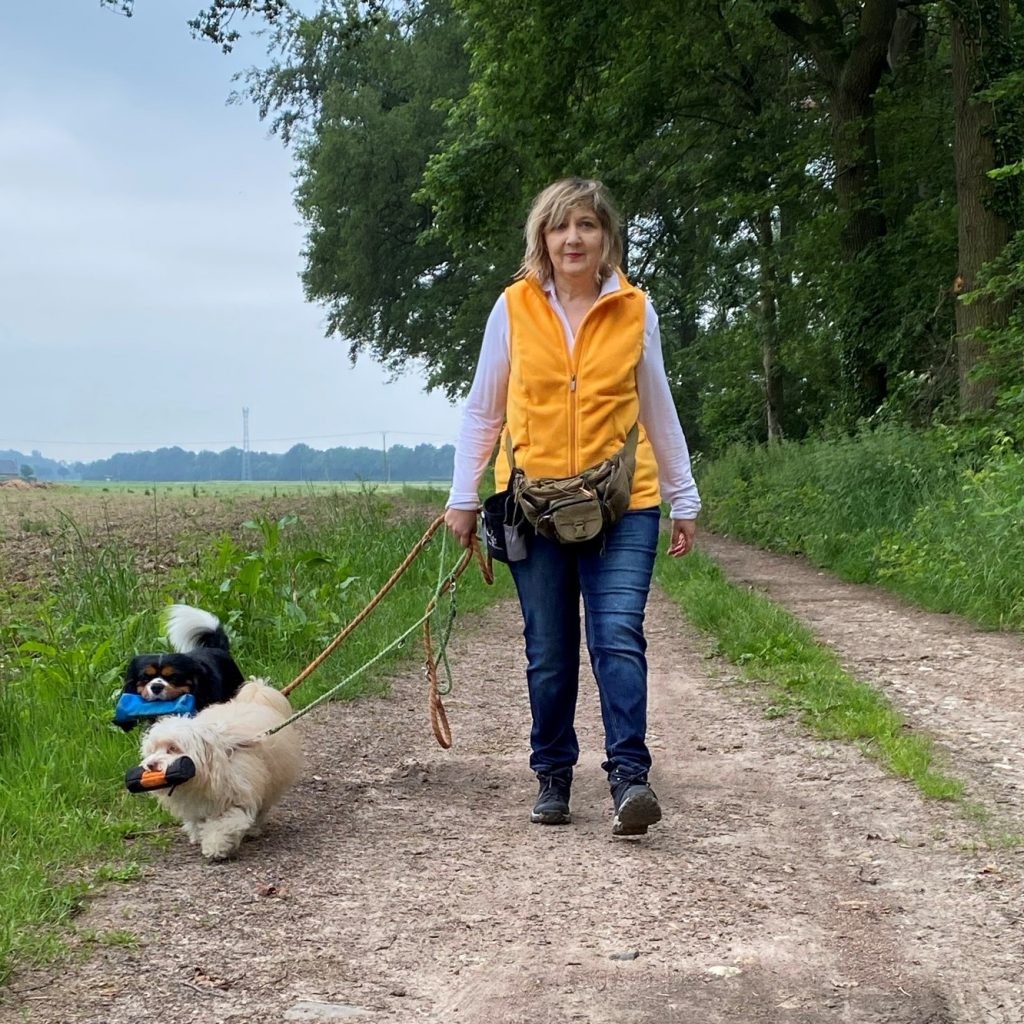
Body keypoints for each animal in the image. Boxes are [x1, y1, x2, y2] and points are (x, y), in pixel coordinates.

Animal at [142, 684, 305, 860]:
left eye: (173, 748)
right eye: (153, 750)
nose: (150, 764)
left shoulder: (237, 799)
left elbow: (223, 825)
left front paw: (215, 846)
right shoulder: (195, 806)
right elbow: (197, 821)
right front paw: (197, 835)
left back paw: (253, 829)